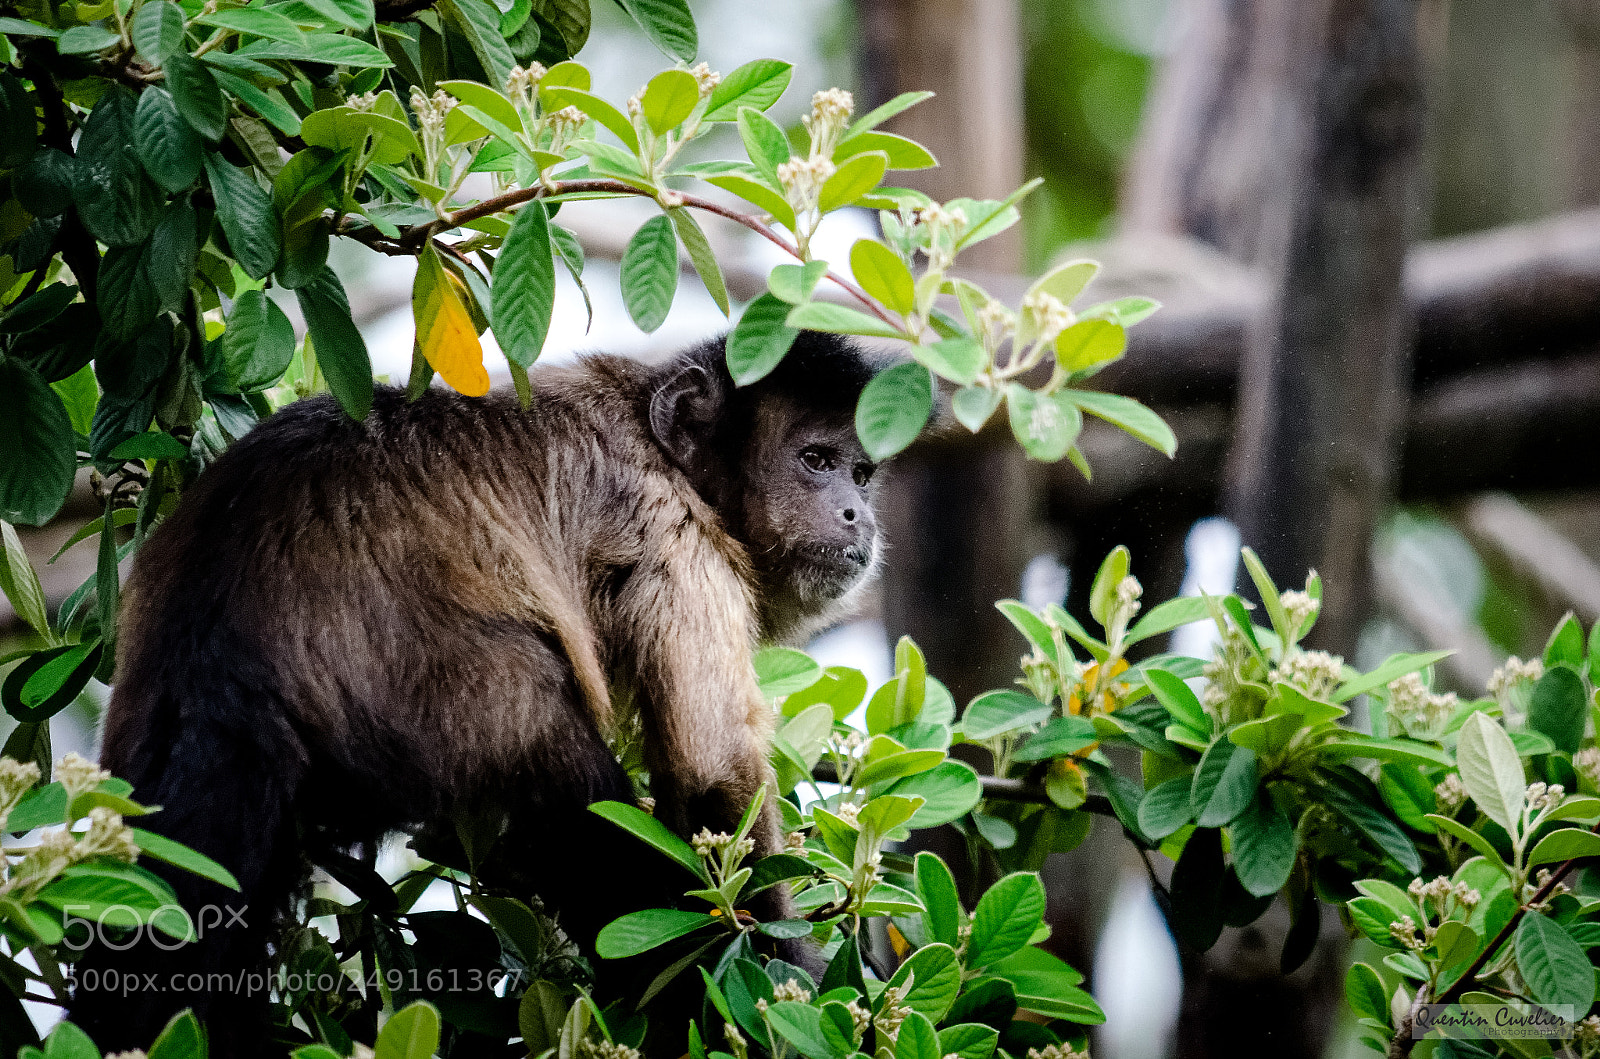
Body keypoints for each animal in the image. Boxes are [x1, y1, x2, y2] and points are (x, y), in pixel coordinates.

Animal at [68, 330, 885, 1056]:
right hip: (436, 687)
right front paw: (790, 995)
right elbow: (715, 779)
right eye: (815, 461)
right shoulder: (675, 531)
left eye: (862, 472)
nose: (862, 516)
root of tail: (220, 658)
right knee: (555, 759)